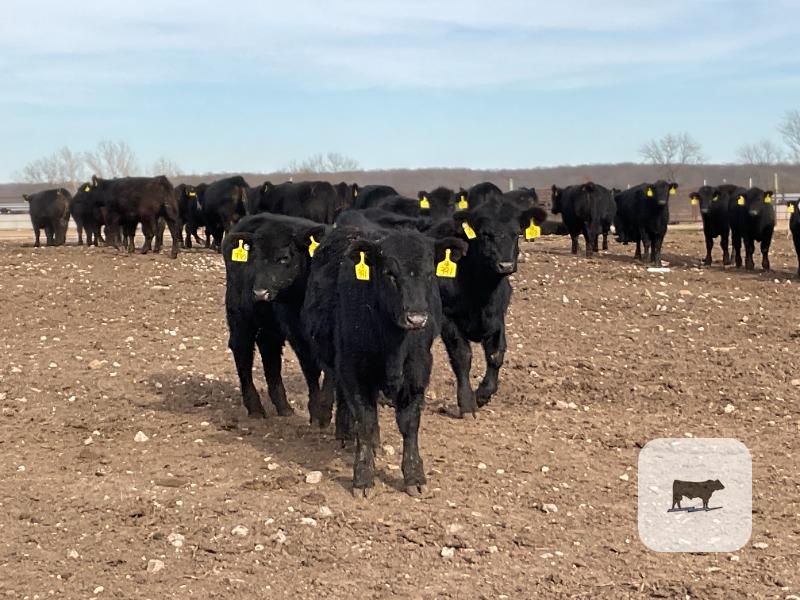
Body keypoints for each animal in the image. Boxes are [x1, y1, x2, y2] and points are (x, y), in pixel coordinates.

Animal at [222, 213, 332, 424]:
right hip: (240, 316)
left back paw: (284, 407)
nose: (259, 293)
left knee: (269, 351)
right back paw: (255, 408)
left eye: (284, 258)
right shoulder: (298, 334)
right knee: (242, 351)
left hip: (269, 324)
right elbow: (311, 369)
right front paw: (318, 413)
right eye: (254, 257)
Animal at [302, 223, 467, 497]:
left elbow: (409, 423)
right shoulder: (353, 368)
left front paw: (414, 476)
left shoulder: (418, 369)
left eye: (429, 273)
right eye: (390, 273)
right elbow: (365, 421)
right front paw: (363, 477)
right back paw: (345, 432)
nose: (416, 317)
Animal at [427, 198, 547, 417]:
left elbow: (496, 354)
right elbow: (462, 356)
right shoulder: (448, 318)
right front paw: (467, 403)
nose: (505, 265)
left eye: (517, 232)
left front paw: (483, 394)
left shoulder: (497, 316)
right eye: (485, 234)